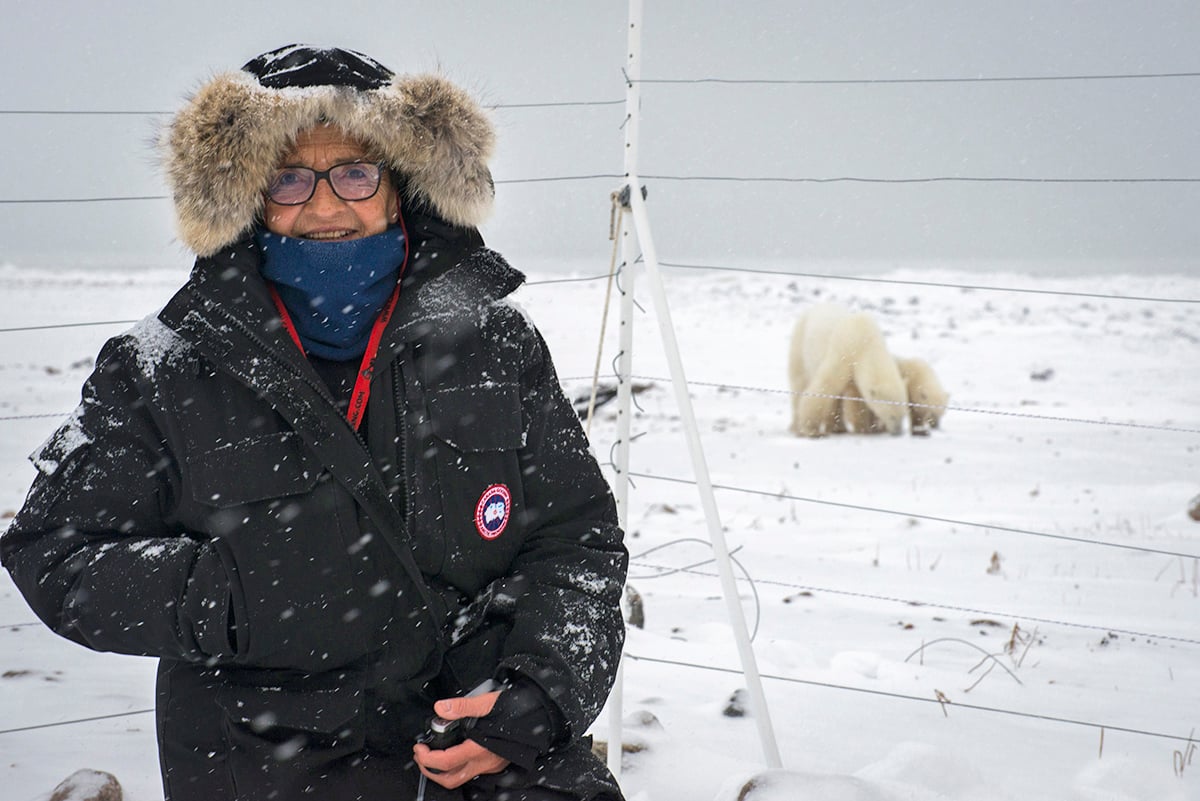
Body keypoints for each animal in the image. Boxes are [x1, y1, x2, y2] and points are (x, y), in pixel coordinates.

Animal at [782, 302, 902, 438]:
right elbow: (825, 386)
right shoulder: (844, 351)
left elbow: (857, 398)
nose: (898, 432)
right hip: (800, 345)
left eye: (902, 415)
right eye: (892, 416)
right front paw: (812, 430)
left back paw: (838, 428)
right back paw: (795, 427)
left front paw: (864, 428)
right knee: (799, 382)